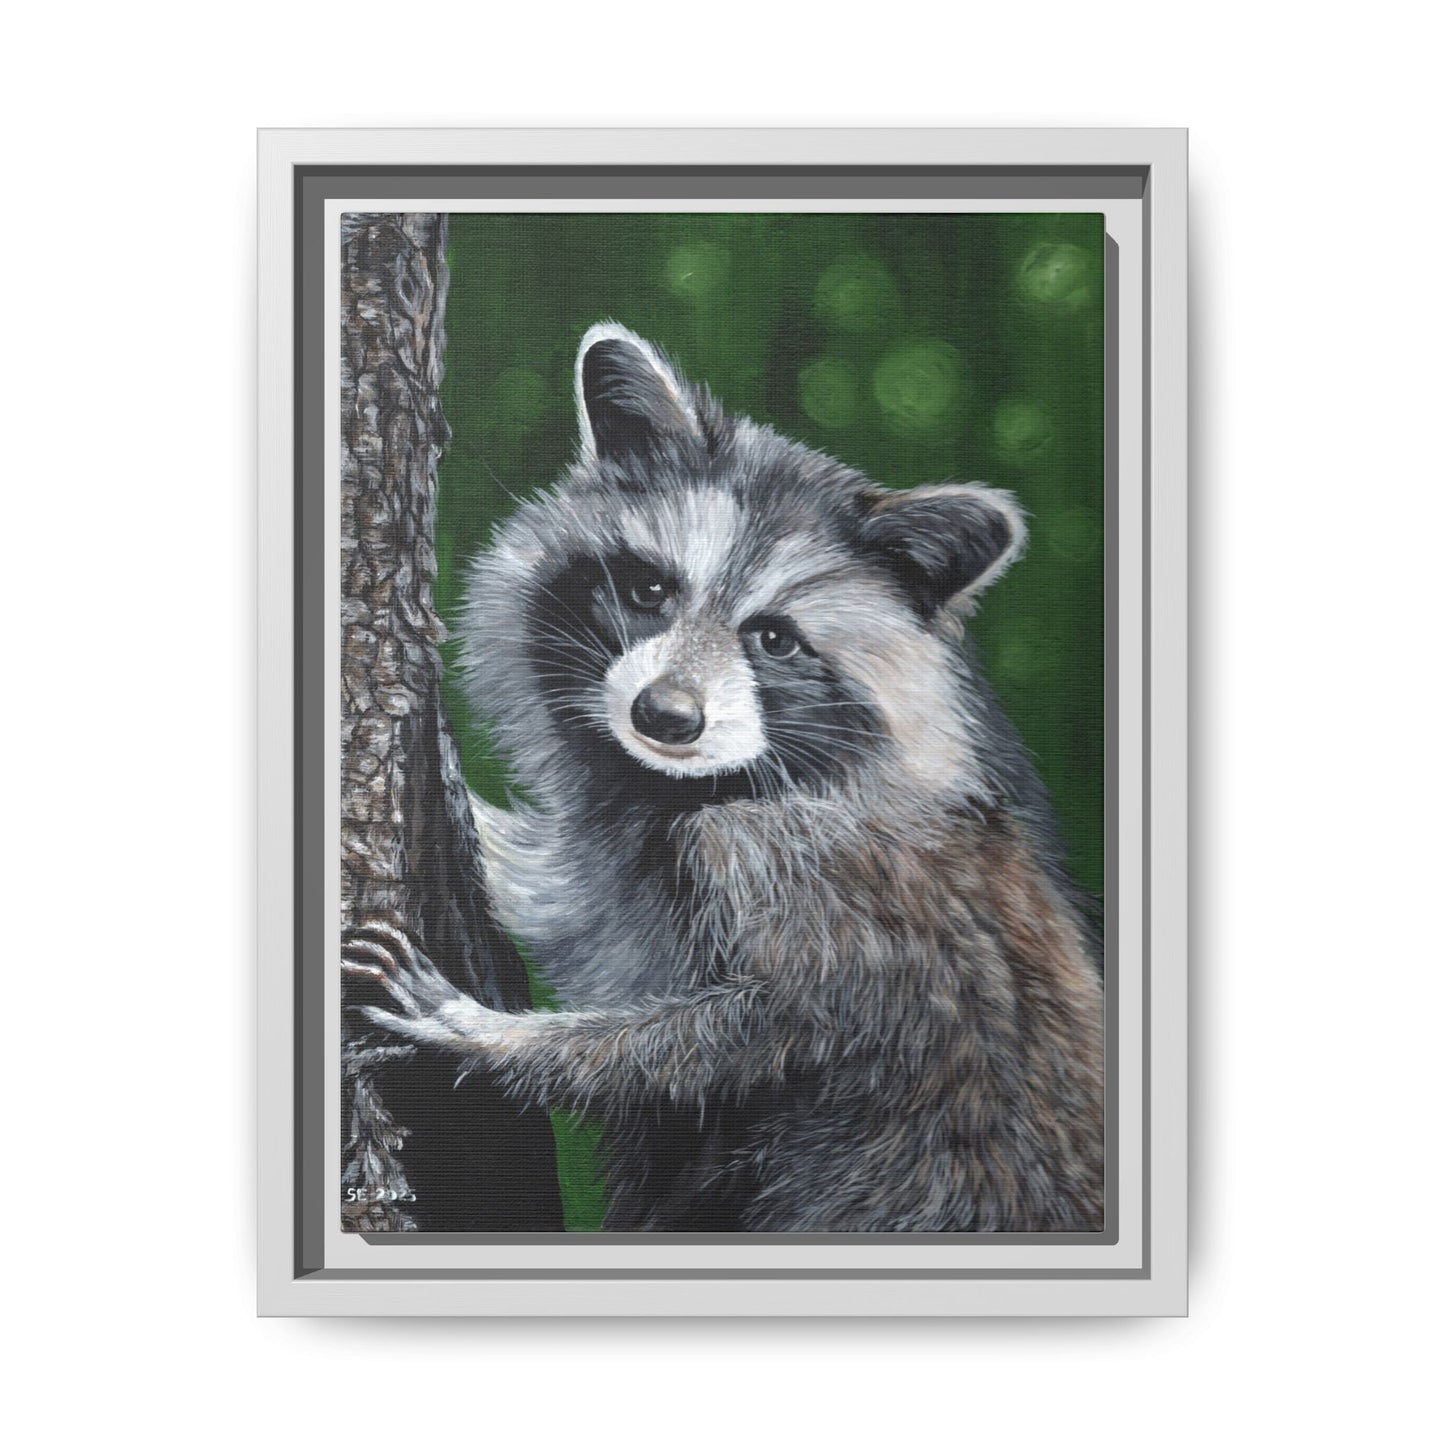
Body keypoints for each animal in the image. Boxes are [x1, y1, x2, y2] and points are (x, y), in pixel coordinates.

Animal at [345, 323, 1105, 1233]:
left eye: (773, 638)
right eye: (649, 589)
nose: (665, 717)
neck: (692, 786)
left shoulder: (819, 876)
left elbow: (745, 1034)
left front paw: (487, 1033)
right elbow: (568, 898)